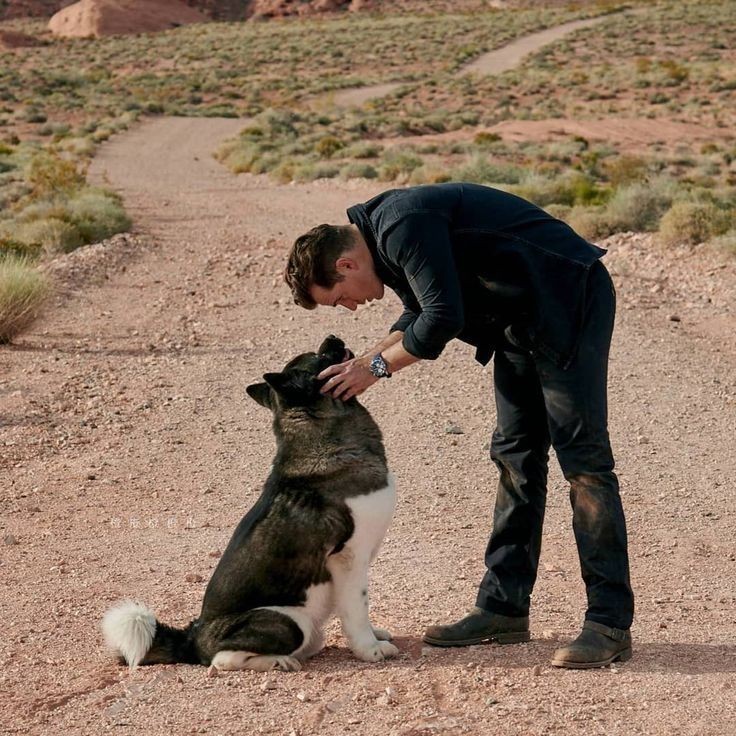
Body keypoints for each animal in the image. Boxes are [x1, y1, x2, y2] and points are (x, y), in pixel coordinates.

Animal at [102, 336, 396, 668]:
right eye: (319, 357)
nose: (333, 337)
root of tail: (193, 638)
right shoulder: (348, 558)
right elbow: (358, 609)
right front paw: (370, 649)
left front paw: (375, 636)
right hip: (290, 622)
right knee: (222, 660)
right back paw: (279, 662)